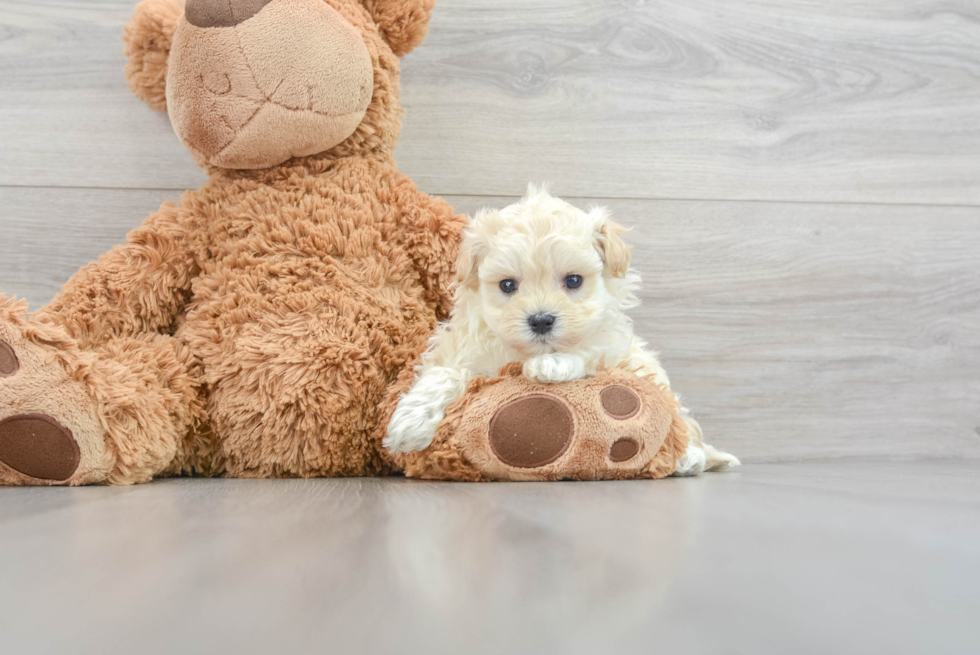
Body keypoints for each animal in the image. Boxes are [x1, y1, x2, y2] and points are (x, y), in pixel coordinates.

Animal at [386, 187, 740, 474]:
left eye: (573, 280)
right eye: (507, 285)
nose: (541, 320)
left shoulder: (612, 349)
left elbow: (585, 350)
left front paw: (552, 364)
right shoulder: (457, 349)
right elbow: (446, 373)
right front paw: (410, 424)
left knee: (684, 423)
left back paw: (689, 458)